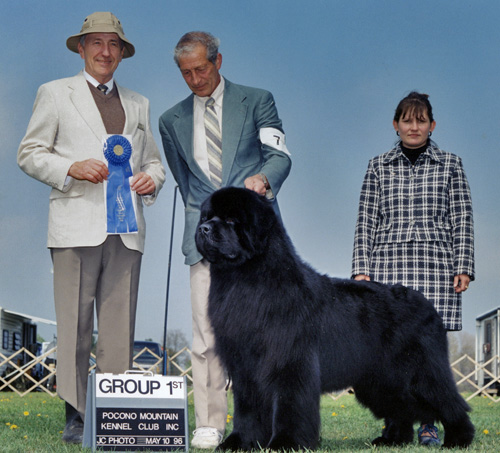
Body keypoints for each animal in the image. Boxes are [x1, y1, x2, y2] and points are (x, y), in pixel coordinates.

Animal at [194, 187, 472, 448]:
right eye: (207, 217)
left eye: (231, 219)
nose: (203, 229)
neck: (246, 279)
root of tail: (425, 302)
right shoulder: (245, 366)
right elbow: (247, 409)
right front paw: (238, 443)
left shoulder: (290, 362)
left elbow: (289, 406)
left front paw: (285, 443)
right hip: (381, 379)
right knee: (400, 407)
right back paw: (393, 439)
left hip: (421, 371)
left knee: (448, 401)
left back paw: (459, 438)